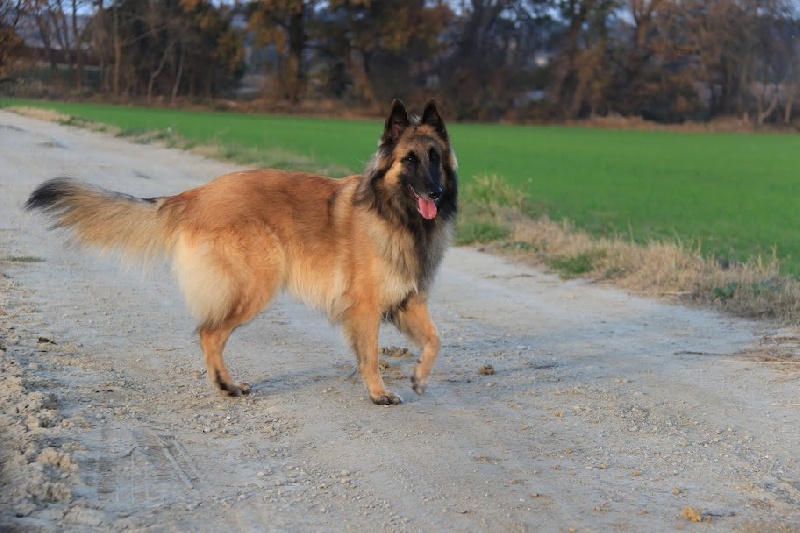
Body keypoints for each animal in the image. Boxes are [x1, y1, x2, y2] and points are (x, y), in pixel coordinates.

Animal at [26, 100, 456, 406]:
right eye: (409, 160)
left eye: (435, 158)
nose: (435, 192)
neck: (394, 212)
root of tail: (195, 195)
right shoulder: (365, 308)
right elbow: (369, 354)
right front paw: (378, 393)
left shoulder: (409, 299)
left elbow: (436, 340)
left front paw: (418, 377)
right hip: (254, 287)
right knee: (208, 333)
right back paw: (227, 385)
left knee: (210, 333)